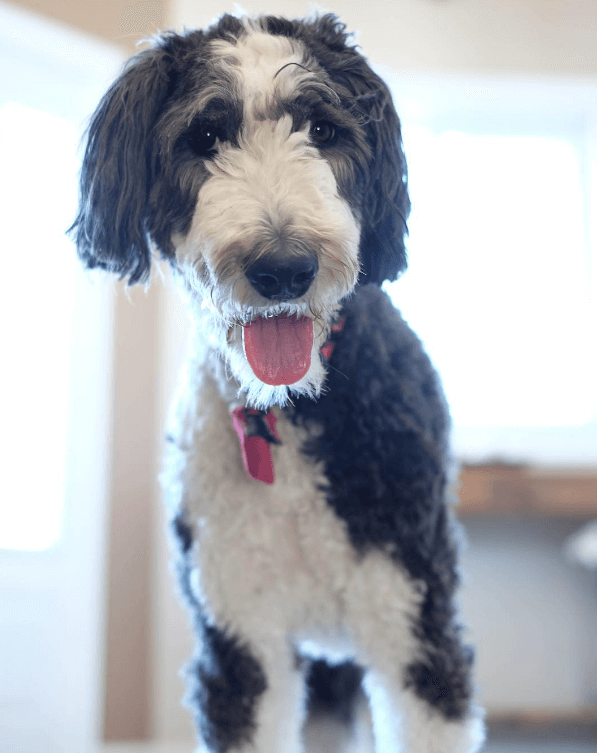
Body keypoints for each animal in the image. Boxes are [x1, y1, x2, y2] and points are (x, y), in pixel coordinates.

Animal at [71, 11, 484, 752]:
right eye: (205, 136)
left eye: (321, 128)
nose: (283, 267)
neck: (286, 413)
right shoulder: (241, 645)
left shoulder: (415, 631)